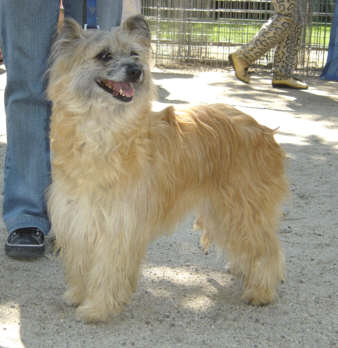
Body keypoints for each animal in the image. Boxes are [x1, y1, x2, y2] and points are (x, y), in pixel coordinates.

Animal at [46, 14, 288, 322]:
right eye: (104, 55)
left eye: (135, 54)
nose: (136, 71)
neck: (102, 130)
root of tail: (263, 129)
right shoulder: (79, 216)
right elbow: (80, 262)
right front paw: (77, 294)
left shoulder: (118, 225)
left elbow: (107, 270)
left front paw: (97, 308)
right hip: (221, 210)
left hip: (243, 208)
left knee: (268, 249)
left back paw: (261, 291)